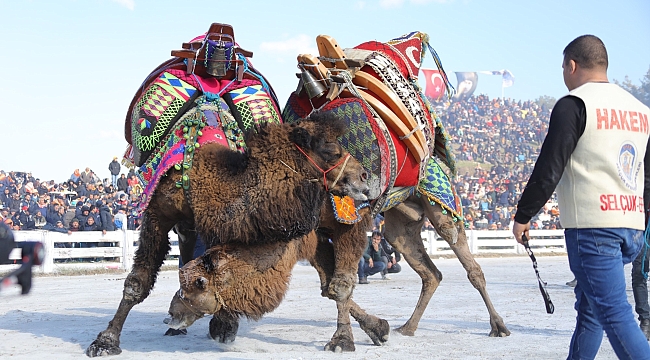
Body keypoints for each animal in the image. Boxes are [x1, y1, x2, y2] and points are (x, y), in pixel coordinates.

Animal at [85, 114, 370, 358]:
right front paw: (105, 342)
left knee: (332, 281)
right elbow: (137, 282)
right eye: (331, 151)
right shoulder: (160, 214)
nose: (364, 175)